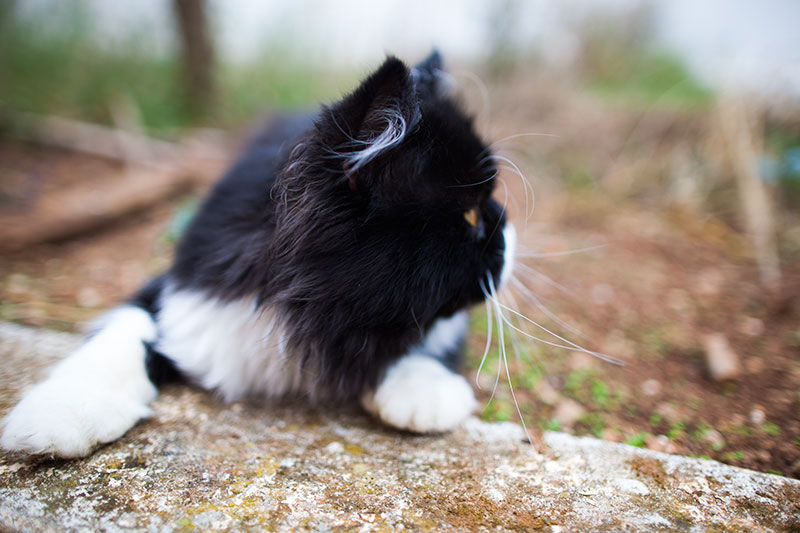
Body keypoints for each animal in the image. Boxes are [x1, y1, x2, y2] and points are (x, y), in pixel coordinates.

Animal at [0, 52, 516, 456]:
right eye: (471, 215)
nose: (506, 225)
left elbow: (431, 335)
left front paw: (422, 388)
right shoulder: (175, 294)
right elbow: (121, 335)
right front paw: (62, 413)